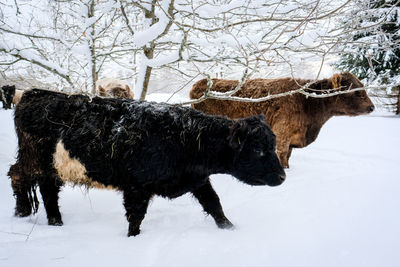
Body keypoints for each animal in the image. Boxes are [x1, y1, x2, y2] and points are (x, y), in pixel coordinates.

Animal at [191, 72, 376, 169]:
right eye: (356, 91)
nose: (372, 107)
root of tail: (199, 83)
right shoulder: (282, 136)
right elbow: (283, 155)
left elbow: (288, 155)